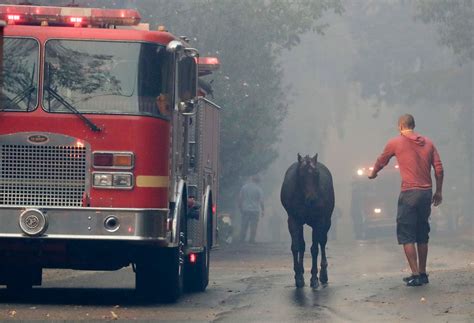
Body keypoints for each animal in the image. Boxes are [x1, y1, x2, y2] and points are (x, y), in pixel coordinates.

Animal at [280, 154, 336, 288]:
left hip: (327, 220)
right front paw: (298, 277)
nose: (312, 199)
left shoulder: (318, 221)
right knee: (302, 244)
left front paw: (314, 278)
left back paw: (323, 274)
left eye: (316, 174)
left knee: (322, 241)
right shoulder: (293, 219)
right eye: (301, 175)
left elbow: (315, 248)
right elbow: (296, 246)